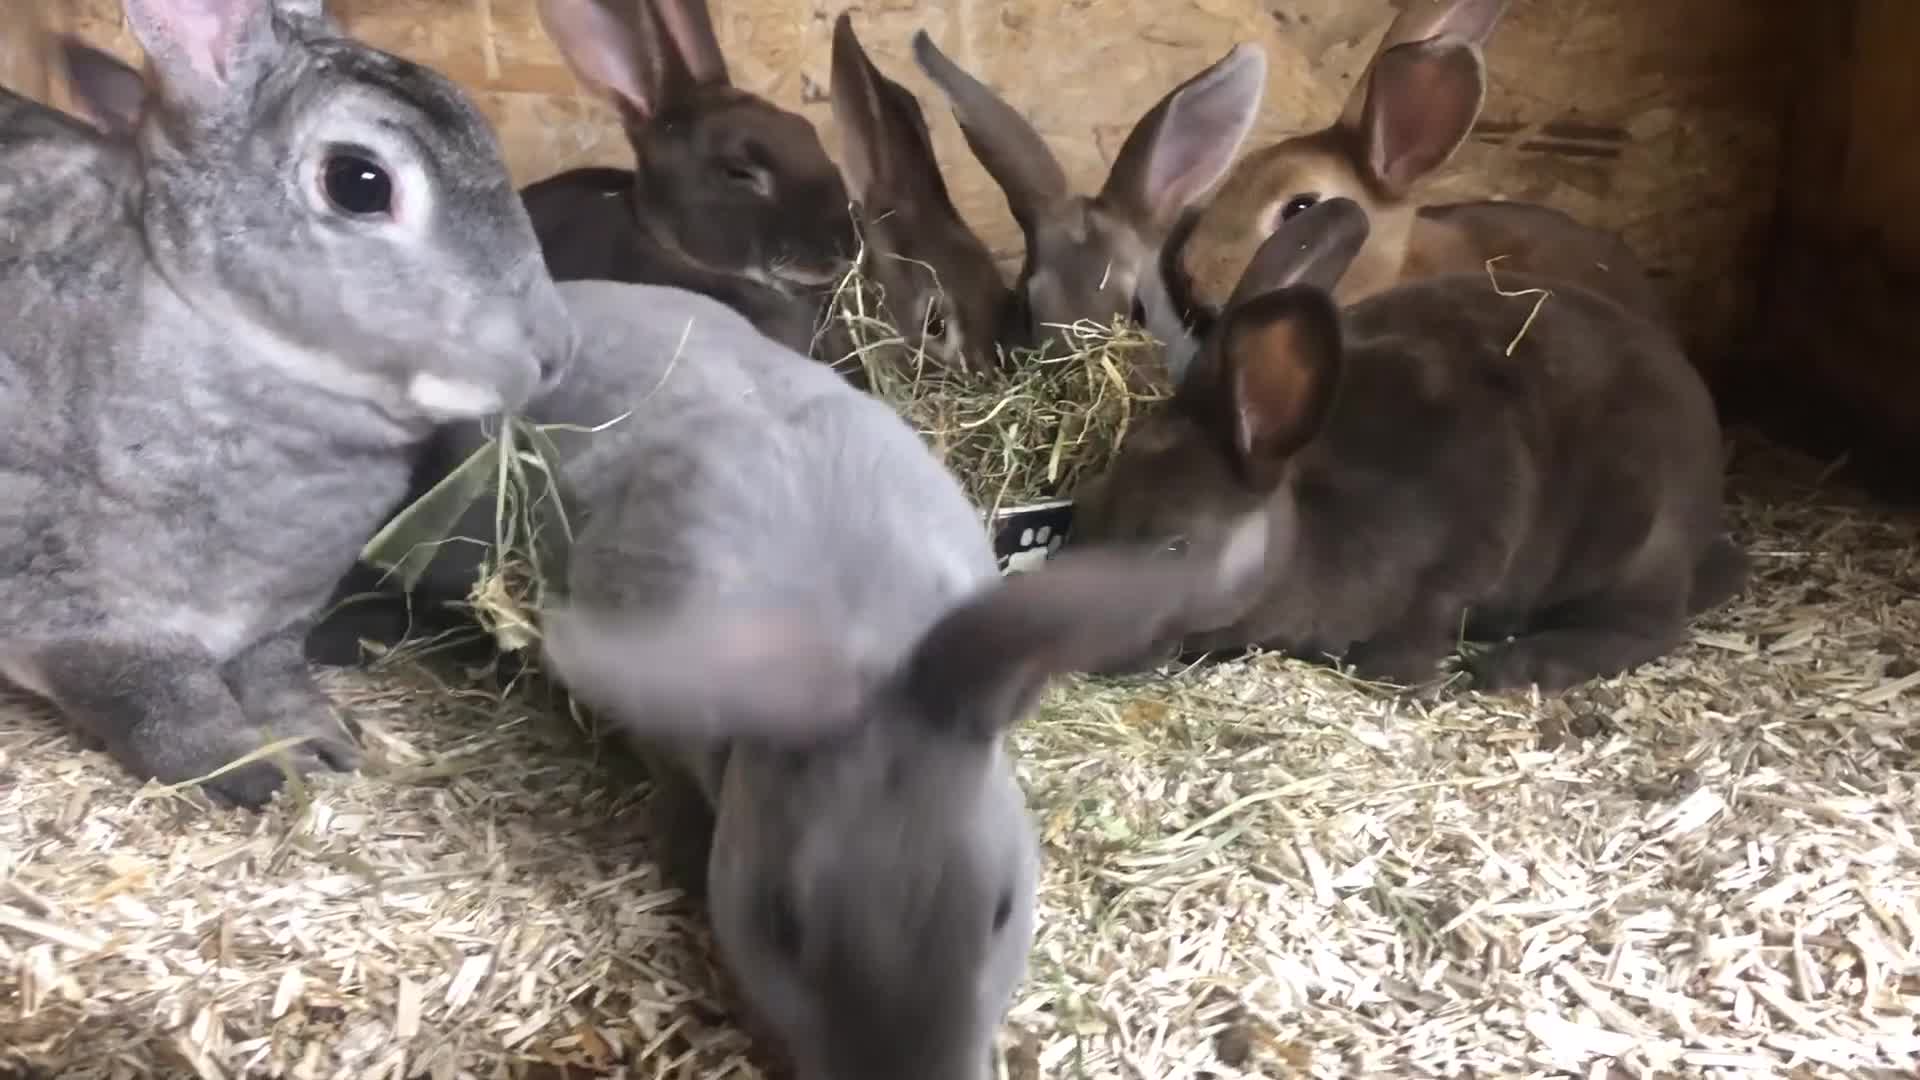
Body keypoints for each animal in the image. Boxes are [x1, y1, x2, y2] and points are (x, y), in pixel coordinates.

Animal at [0, 0, 576, 808]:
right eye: (359, 183)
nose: (552, 352)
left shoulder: (278, 621)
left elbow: (276, 675)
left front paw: (330, 739)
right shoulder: (79, 615)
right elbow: (161, 693)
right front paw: (261, 769)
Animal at [1072, 196, 1745, 695]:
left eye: (1175, 546)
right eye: (1087, 513)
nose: (1089, 643)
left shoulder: (1471, 540)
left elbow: (1424, 622)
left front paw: (1406, 675)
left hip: (1634, 538)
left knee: (1648, 627)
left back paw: (1515, 666)